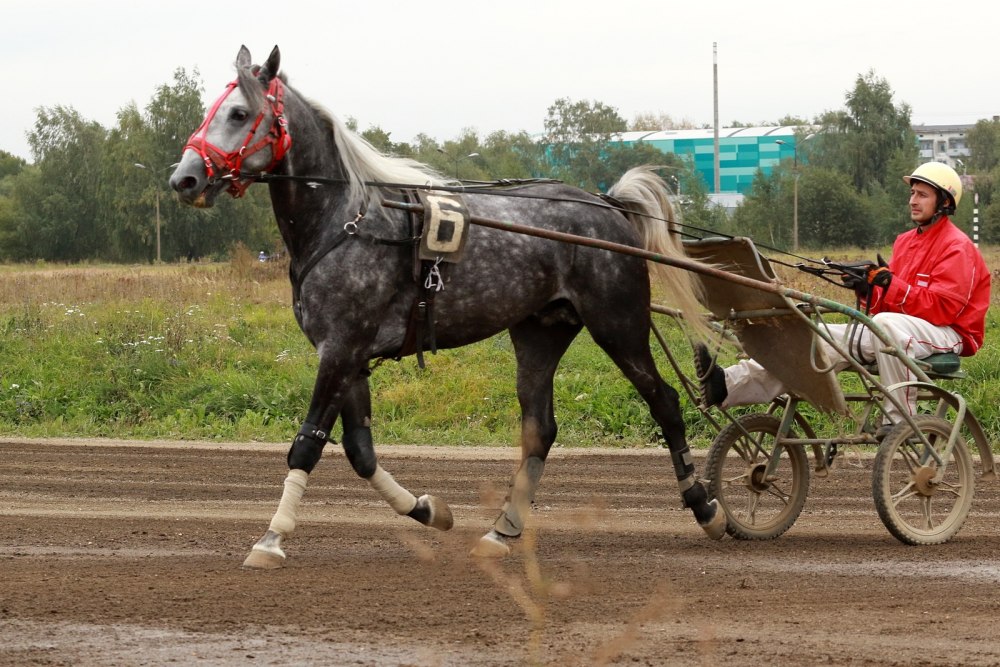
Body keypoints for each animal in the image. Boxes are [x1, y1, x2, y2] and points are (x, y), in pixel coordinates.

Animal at [168, 45, 724, 568]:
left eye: (239, 113)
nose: (184, 178)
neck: (346, 221)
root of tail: (607, 204)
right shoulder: (349, 355)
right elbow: (360, 450)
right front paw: (427, 509)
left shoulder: (341, 348)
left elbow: (308, 443)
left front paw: (271, 538)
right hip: (539, 332)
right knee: (540, 429)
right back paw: (502, 530)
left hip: (618, 323)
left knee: (665, 402)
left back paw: (706, 506)